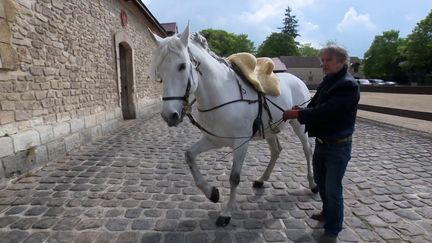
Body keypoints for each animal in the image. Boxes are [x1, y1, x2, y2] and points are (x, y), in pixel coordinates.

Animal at [150, 25, 316, 227]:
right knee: (276, 150)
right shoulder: (213, 140)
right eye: (159, 71)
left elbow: (234, 178)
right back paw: (262, 179)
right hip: (270, 130)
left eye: (182, 66)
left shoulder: (241, 143)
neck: (222, 95)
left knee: (307, 150)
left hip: (298, 124)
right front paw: (212, 193)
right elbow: (189, 156)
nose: (169, 115)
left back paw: (312, 184)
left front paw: (226, 213)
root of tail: (298, 80)